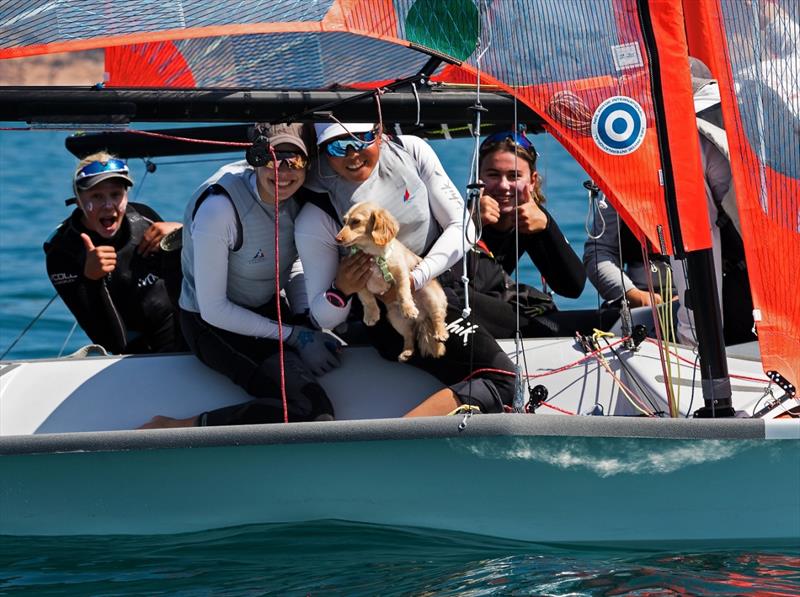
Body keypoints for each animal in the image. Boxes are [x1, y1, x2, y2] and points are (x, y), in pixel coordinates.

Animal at [336, 201, 450, 358]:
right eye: (344, 221)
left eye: (356, 221)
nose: (337, 238)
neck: (375, 257)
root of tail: (422, 318)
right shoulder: (359, 282)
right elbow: (367, 299)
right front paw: (371, 315)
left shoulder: (401, 274)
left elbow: (402, 292)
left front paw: (408, 308)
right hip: (396, 319)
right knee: (409, 335)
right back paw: (407, 352)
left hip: (431, 296)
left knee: (438, 317)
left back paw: (440, 333)